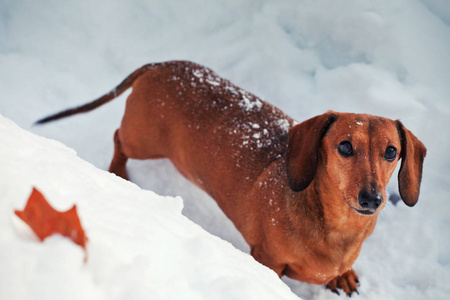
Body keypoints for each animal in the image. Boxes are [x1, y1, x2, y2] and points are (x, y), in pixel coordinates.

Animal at [37, 61, 428, 296]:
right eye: (345, 146)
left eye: (391, 152)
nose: (372, 199)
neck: (334, 228)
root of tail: (160, 65)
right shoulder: (267, 259)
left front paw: (342, 275)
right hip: (142, 140)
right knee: (119, 138)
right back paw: (118, 171)